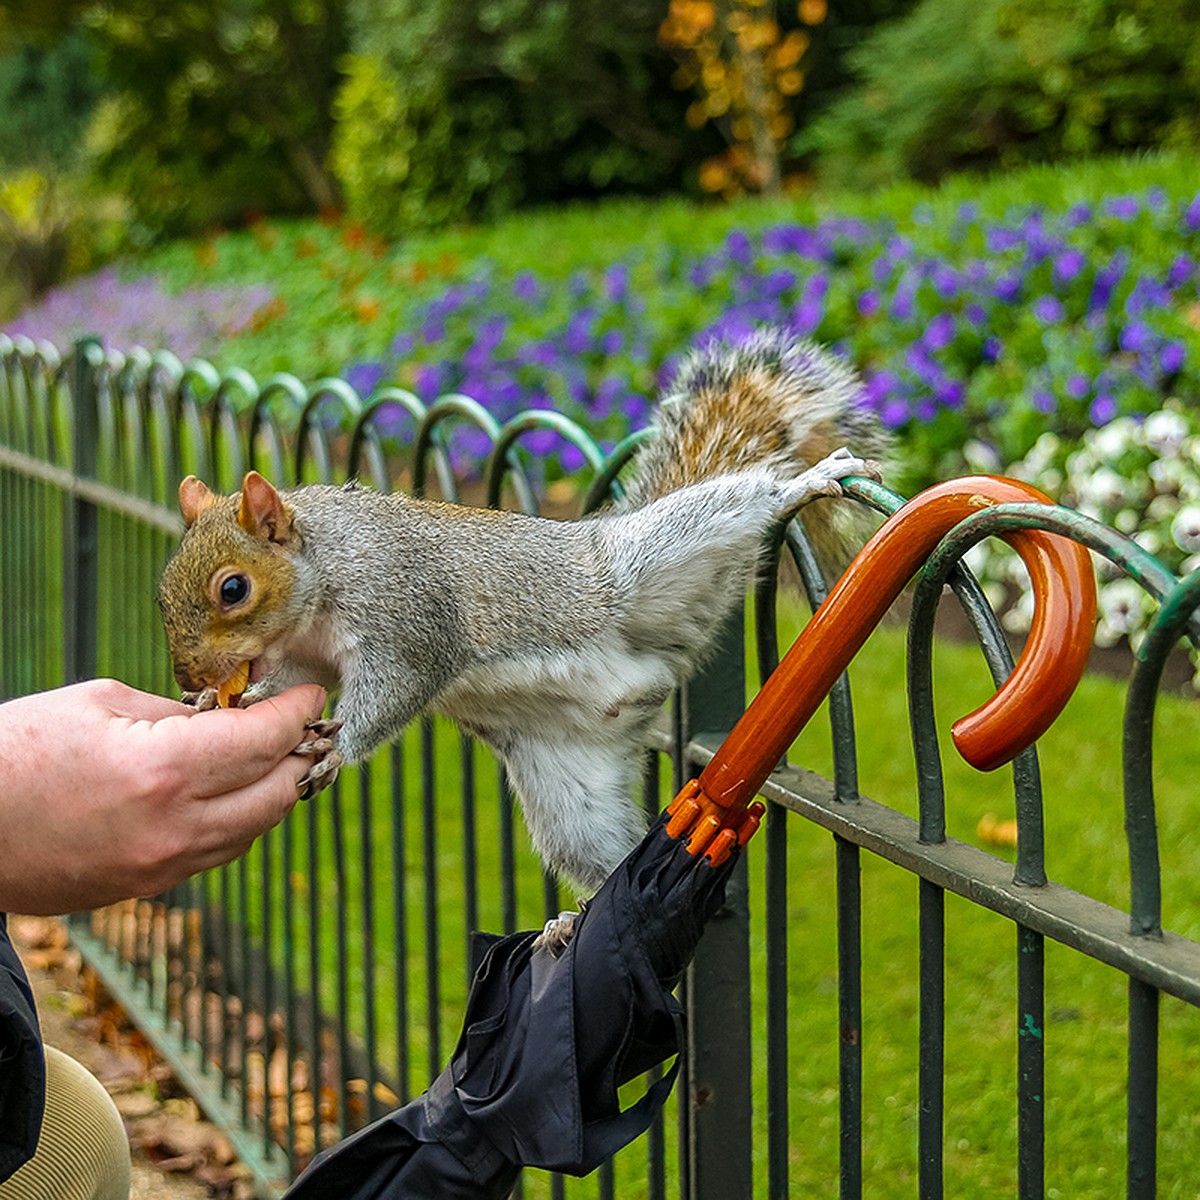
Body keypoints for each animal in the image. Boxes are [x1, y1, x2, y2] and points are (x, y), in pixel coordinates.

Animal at [157, 326, 892, 892]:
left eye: (232, 589)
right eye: (164, 586)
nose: (188, 676)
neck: (320, 580)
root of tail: (647, 677)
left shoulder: (405, 612)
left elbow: (397, 689)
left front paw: (338, 747)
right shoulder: (302, 656)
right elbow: (291, 682)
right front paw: (219, 703)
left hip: (651, 557)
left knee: (744, 501)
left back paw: (810, 479)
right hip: (568, 790)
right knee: (604, 853)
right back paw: (580, 921)